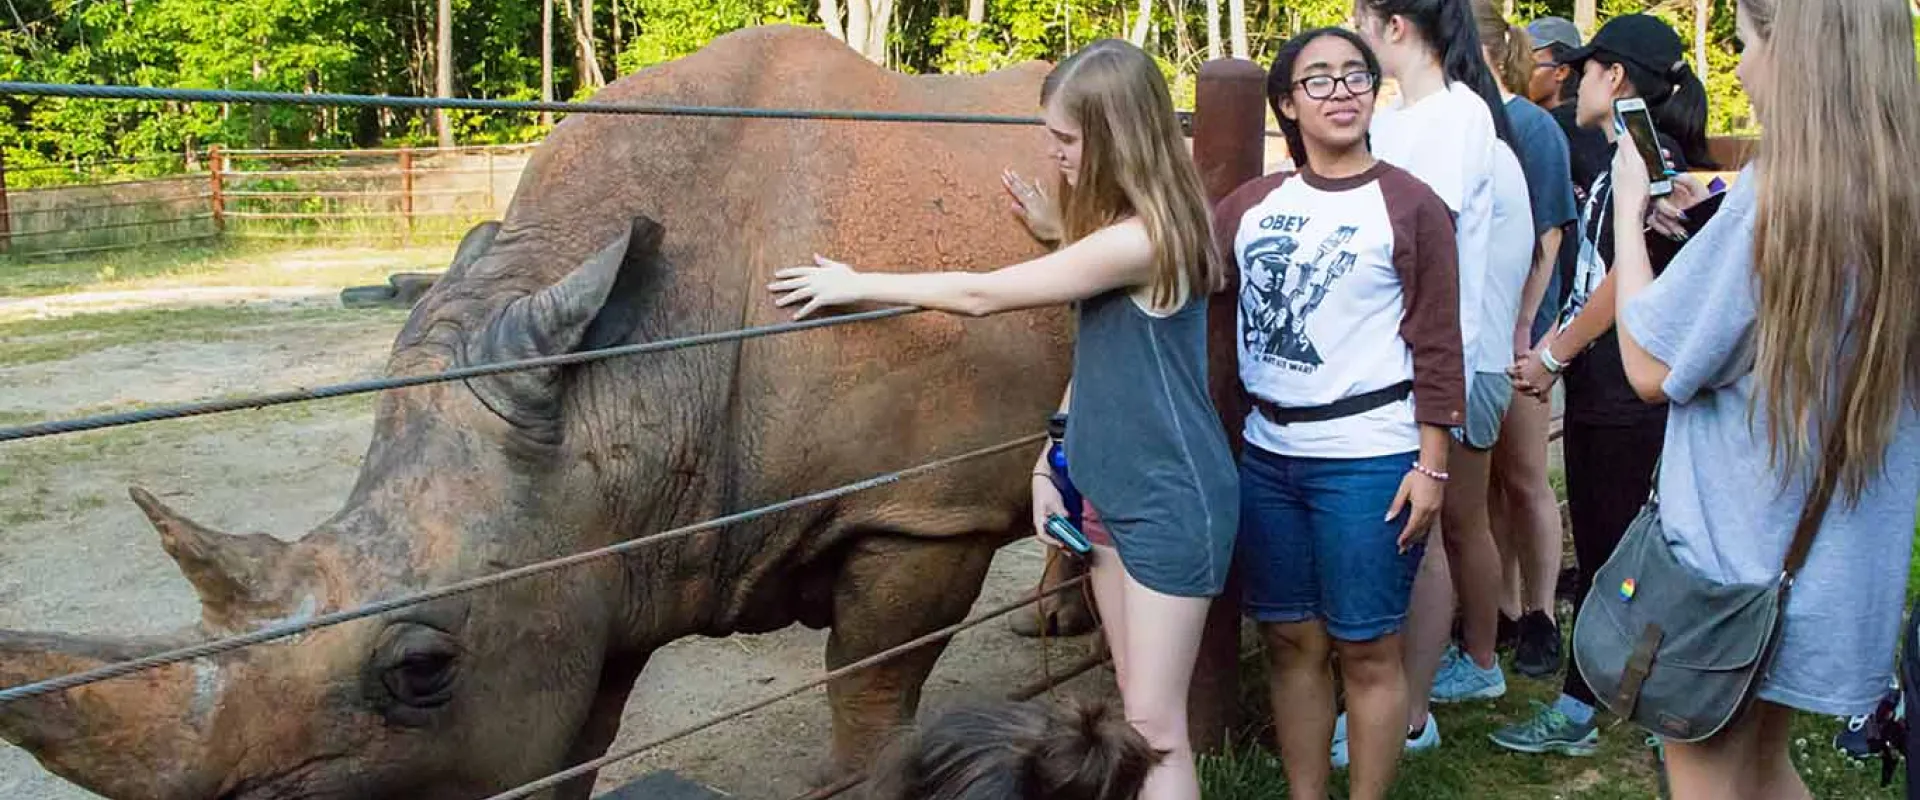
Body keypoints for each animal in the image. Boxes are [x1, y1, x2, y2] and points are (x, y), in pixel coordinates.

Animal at [0, 25, 1075, 799]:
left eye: (421, 669)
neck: (637, 372)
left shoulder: (919, 509)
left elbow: (868, 681)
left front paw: (860, 781)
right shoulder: (597, 548)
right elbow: (573, 732)